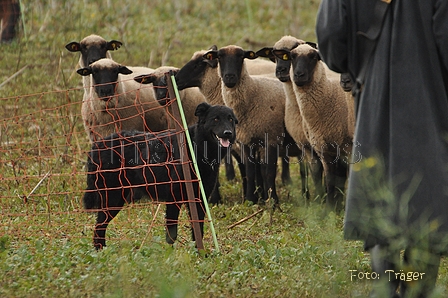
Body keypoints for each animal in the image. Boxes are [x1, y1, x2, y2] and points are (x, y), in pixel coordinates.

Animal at [83, 102, 238, 249]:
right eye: (216, 119)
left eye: (230, 119)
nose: (228, 133)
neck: (197, 148)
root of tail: (96, 146)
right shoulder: (174, 199)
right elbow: (172, 234)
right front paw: (171, 254)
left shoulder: (199, 200)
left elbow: (198, 231)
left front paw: (201, 253)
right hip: (113, 198)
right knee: (99, 227)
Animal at [272, 43, 354, 212]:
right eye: (292, 57)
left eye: (314, 57)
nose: (298, 75)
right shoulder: (323, 149)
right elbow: (328, 179)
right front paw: (328, 207)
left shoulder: (346, 147)